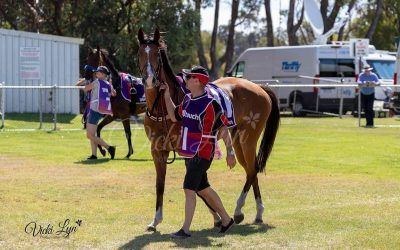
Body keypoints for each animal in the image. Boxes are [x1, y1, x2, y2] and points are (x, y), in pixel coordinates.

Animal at [136, 28, 280, 230]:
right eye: (140, 53)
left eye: (157, 54)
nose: (149, 79)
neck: (163, 109)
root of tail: (258, 87)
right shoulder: (157, 151)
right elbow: (161, 185)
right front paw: (155, 220)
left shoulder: (188, 151)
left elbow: (196, 185)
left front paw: (219, 216)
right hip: (238, 142)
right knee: (251, 171)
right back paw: (258, 212)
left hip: (249, 141)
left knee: (252, 171)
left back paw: (239, 210)